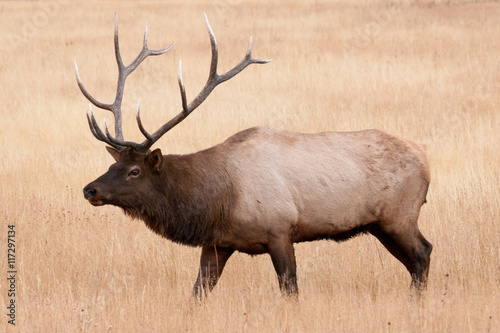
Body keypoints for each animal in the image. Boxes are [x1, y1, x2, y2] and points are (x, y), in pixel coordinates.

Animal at [76, 14, 432, 296]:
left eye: (134, 171)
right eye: (113, 163)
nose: (90, 189)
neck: (218, 201)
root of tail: (427, 162)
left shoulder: (280, 229)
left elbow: (290, 288)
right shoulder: (218, 243)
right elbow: (199, 291)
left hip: (399, 214)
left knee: (422, 254)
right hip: (379, 224)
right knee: (415, 260)